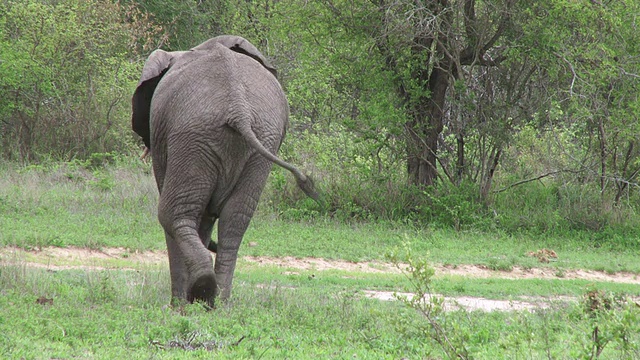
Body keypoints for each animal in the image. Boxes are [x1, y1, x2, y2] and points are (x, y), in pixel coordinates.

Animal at [131, 35, 320, 306]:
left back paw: (199, 295)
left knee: (173, 214)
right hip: (260, 139)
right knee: (235, 218)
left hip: (192, 135)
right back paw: (217, 302)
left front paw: (178, 306)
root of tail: (237, 109)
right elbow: (208, 217)